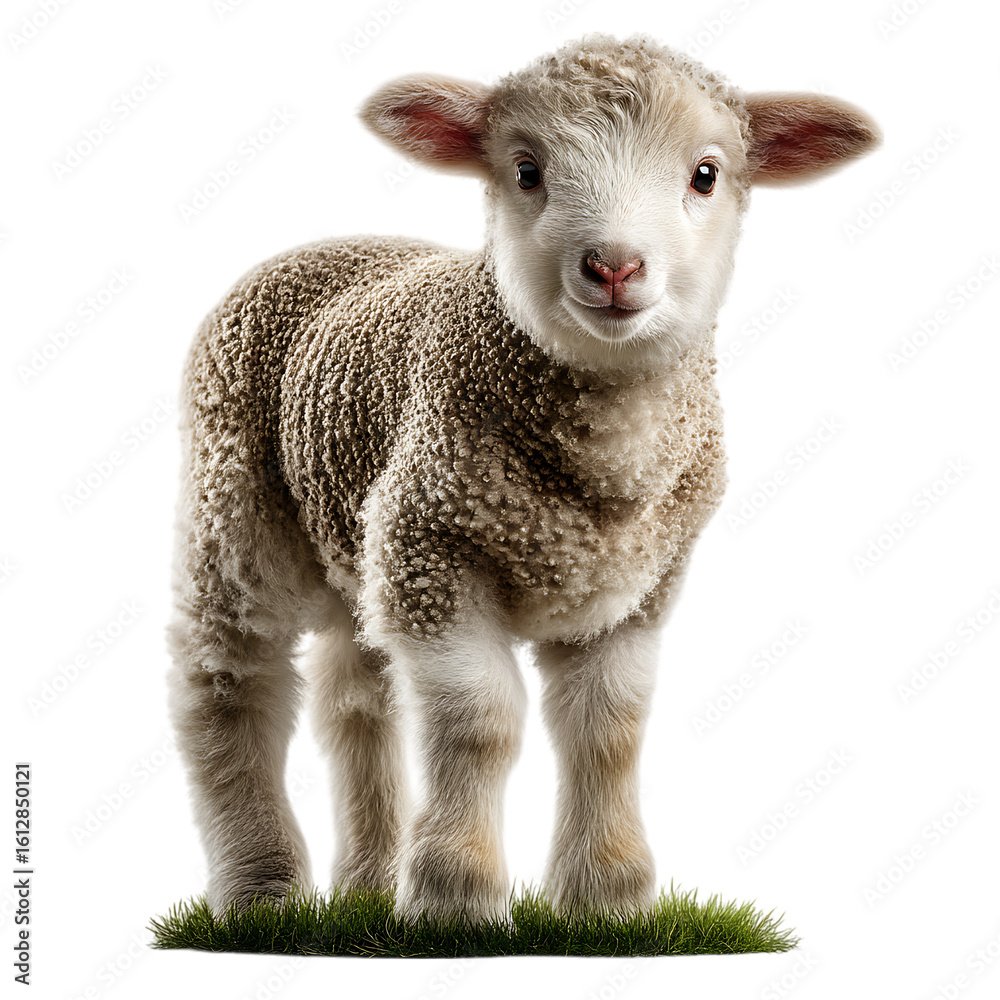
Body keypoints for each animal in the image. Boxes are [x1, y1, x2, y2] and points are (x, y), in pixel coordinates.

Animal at [167, 33, 880, 926]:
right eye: (528, 171)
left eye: (706, 174)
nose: (614, 266)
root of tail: (328, 243)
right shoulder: (433, 549)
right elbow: (480, 723)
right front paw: (457, 896)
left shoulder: (636, 584)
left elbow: (609, 730)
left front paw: (607, 898)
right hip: (236, 503)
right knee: (230, 681)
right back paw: (262, 889)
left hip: (356, 535)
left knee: (354, 698)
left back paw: (366, 883)